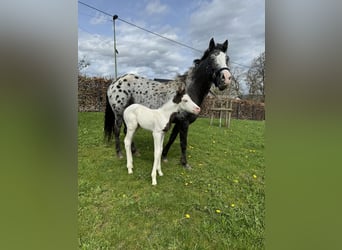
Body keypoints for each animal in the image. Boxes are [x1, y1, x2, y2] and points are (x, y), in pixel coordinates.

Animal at [104, 37, 232, 168]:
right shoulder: (184, 122)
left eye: (227, 59)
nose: (226, 79)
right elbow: (183, 143)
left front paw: (164, 156)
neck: (189, 89)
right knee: (117, 130)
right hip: (119, 114)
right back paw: (119, 153)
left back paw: (135, 151)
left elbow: (172, 139)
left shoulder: (178, 123)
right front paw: (185, 163)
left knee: (127, 131)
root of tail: (115, 81)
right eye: (212, 58)